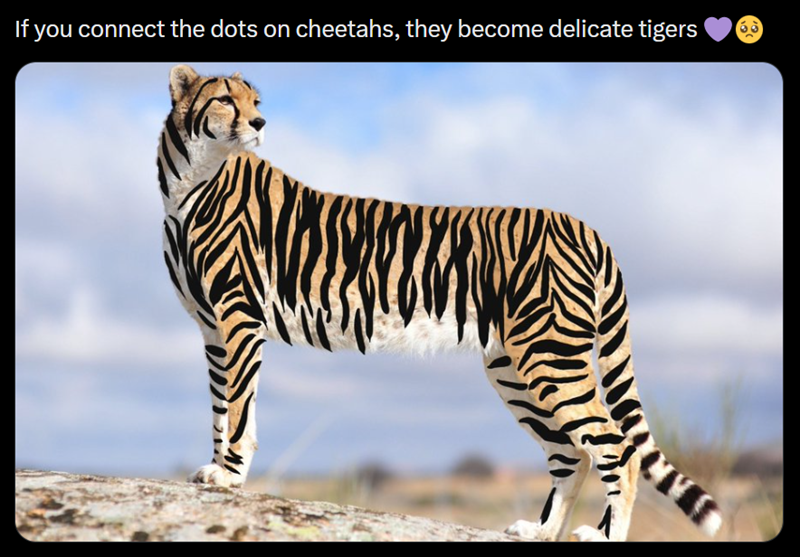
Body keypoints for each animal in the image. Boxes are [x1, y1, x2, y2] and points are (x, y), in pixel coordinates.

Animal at [157, 65, 723, 541]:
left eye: (255, 100)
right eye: (225, 99)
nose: (259, 122)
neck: (190, 183)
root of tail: (585, 225)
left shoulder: (238, 319)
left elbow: (236, 408)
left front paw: (228, 476)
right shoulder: (214, 329)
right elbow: (223, 406)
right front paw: (219, 472)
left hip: (549, 355)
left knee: (616, 447)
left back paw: (604, 536)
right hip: (513, 367)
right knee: (570, 453)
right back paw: (541, 531)